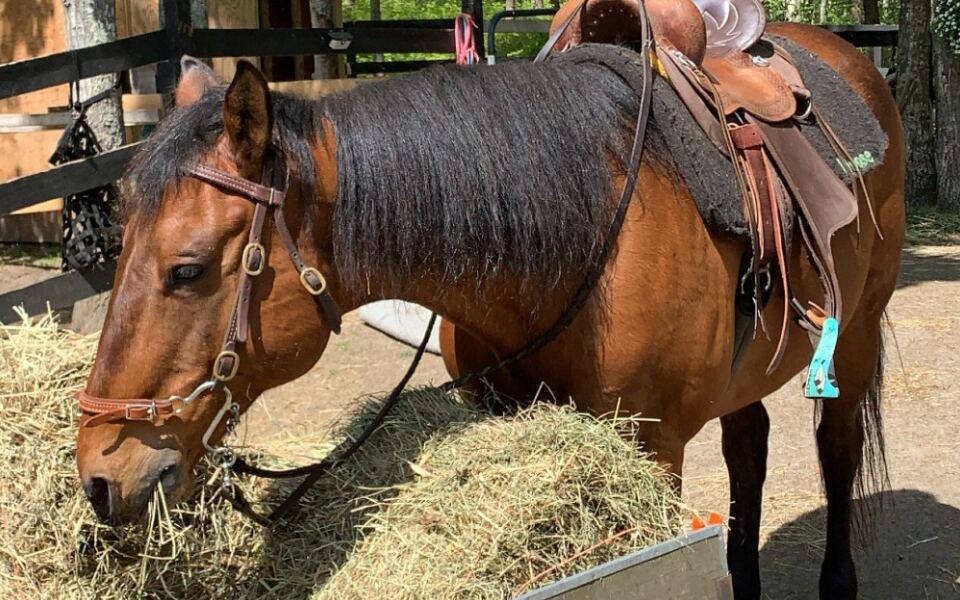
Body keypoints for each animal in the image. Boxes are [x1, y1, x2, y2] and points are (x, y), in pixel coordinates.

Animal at [74, 22, 904, 600]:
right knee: (749, 444)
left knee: (836, 448)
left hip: (856, 333)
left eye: (186, 270)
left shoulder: (653, 446)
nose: (99, 476)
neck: (580, 237)